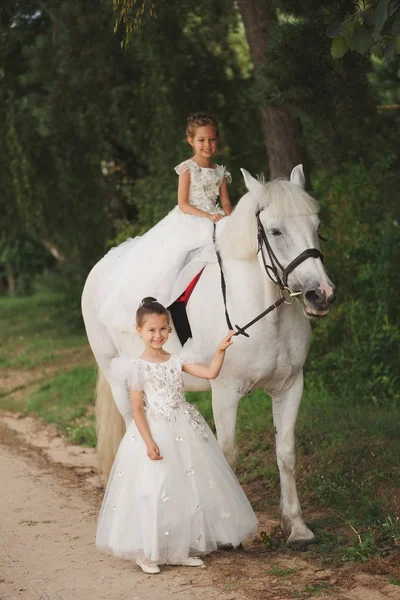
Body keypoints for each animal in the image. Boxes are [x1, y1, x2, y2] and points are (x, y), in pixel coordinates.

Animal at [83, 166, 336, 548]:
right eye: (275, 231)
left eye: (317, 226)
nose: (321, 295)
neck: (263, 312)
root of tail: (99, 268)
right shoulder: (225, 391)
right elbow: (228, 454)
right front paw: (238, 532)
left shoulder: (291, 386)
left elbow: (286, 454)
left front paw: (296, 525)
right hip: (118, 380)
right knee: (133, 430)